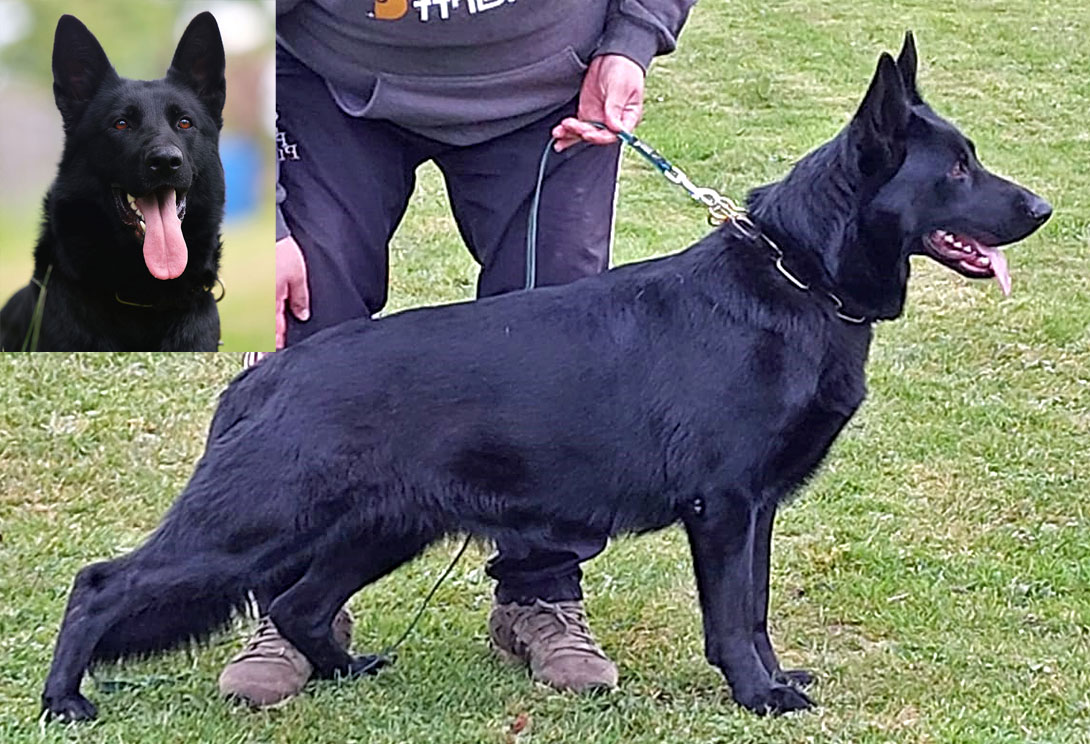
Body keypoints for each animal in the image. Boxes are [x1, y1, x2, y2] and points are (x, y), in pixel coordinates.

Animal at [41, 33, 1050, 721]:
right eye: (960, 169)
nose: (1044, 208)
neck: (795, 273)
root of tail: (260, 381)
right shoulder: (726, 510)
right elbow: (733, 618)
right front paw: (758, 695)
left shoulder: (754, 510)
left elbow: (758, 611)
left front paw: (774, 677)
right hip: (249, 528)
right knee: (106, 585)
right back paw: (64, 701)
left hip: (381, 531)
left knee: (297, 605)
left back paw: (344, 672)